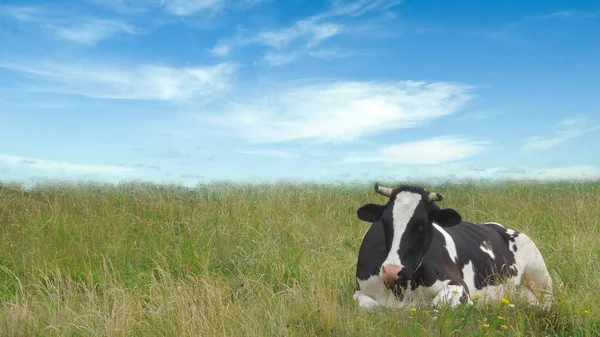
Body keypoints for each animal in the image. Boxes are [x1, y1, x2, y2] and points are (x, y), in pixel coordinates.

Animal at [352, 184, 552, 310]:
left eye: (422, 224)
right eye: (384, 222)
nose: (392, 270)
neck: (400, 290)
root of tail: (498, 226)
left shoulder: (458, 285)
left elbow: (440, 304)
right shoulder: (359, 291)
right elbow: (368, 305)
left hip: (539, 272)